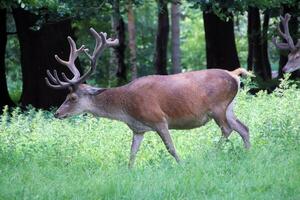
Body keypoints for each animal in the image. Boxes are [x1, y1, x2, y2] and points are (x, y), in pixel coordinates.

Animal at [45, 27, 252, 167]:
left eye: (72, 97)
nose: (57, 113)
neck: (126, 109)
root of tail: (234, 75)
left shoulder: (159, 119)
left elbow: (171, 148)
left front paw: (182, 164)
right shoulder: (138, 129)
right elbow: (132, 153)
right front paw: (128, 171)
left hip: (218, 106)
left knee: (227, 129)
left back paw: (211, 155)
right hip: (229, 107)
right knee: (243, 128)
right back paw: (249, 154)